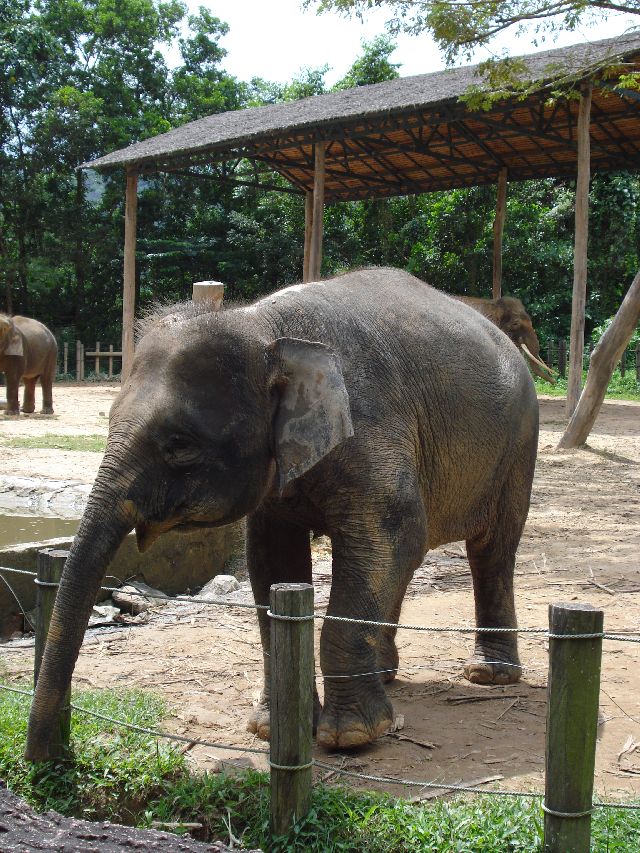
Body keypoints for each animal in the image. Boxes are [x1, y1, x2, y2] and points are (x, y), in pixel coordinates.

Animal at [25, 267, 539, 760]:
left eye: (181, 444)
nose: (47, 759)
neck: (264, 328)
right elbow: (273, 562)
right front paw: (270, 729)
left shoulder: (372, 430)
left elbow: (392, 535)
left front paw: (350, 737)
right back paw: (387, 675)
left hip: (518, 445)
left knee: (489, 551)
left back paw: (488, 675)